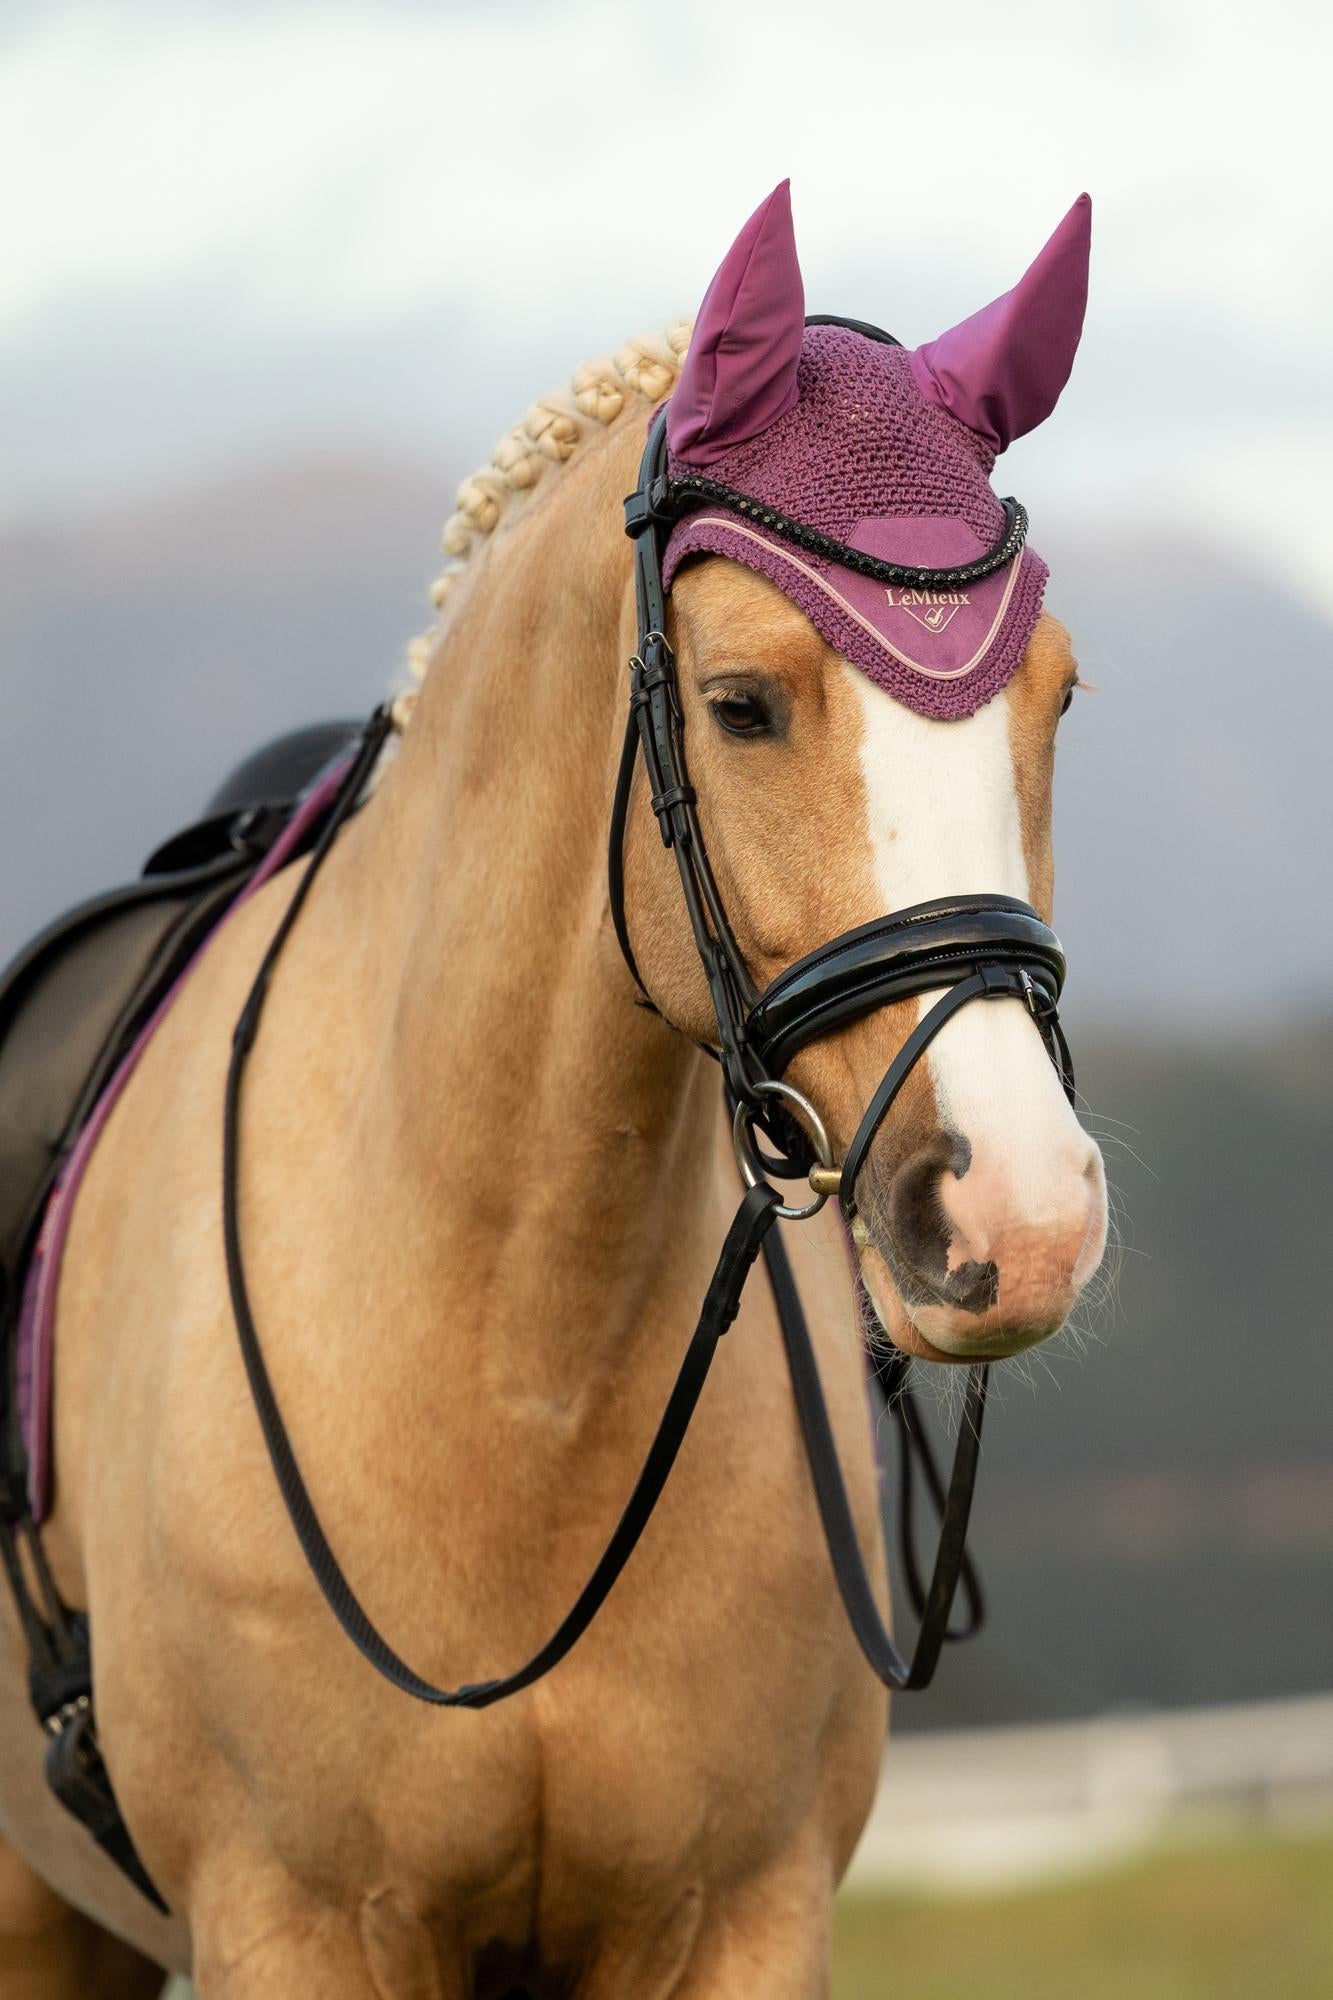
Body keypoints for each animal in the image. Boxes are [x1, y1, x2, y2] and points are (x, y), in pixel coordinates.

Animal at [0, 184, 1106, 1996]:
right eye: (739, 704)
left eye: (1057, 692)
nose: (1015, 1218)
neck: (520, 1363)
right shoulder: (290, 1928)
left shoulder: (740, 1921)